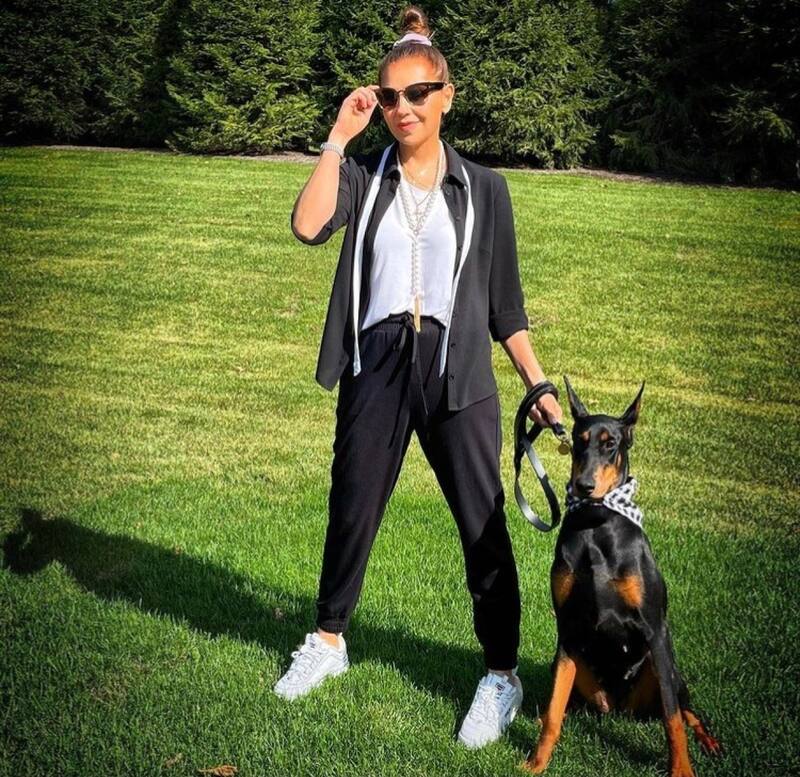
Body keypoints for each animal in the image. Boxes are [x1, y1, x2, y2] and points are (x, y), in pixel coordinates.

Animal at [522, 377, 721, 777]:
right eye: (577, 442)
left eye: (610, 444)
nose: (583, 486)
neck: (596, 524)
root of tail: (618, 710)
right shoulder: (568, 628)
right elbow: (554, 708)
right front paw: (537, 762)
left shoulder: (655, 629)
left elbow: (672, 720)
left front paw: (682, 769)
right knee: (566, 705)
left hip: (667, 666)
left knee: (686, 709)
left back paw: (708, 741)